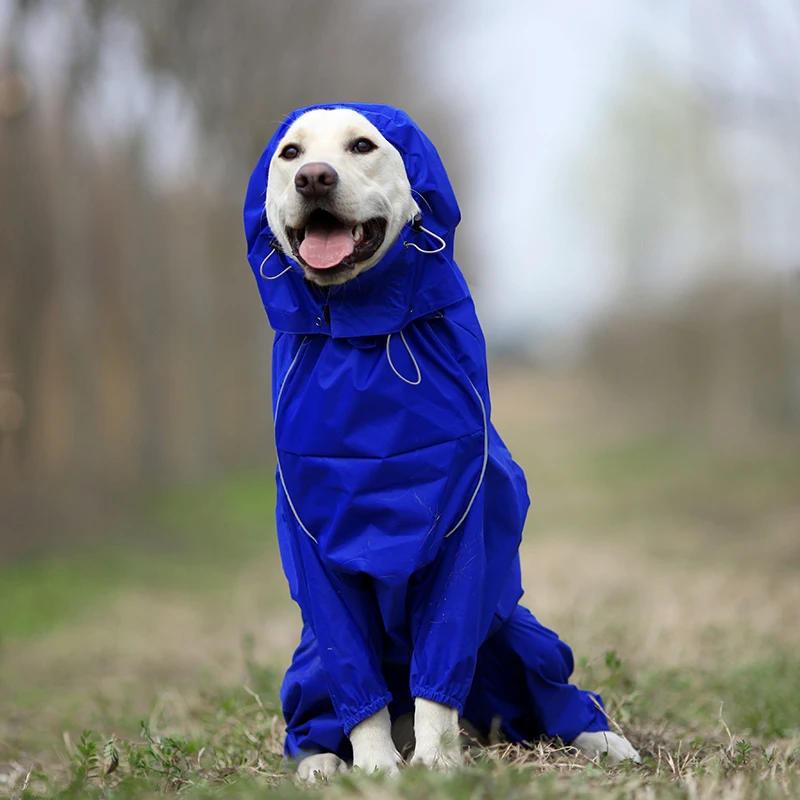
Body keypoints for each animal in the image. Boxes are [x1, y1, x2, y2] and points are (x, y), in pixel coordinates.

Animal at [241, 101, 640, 780]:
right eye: (290, 154)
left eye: (362, 145)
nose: (314, 178)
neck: (363, 339)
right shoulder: (320, 560)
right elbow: (361, 692)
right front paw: (377, 769)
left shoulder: (465, 542)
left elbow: (439, 680)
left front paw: (435, 765)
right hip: (311, 659)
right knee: (322, 710)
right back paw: (320, 761)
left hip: (514, 630)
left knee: (549, 690)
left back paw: (600, 738)